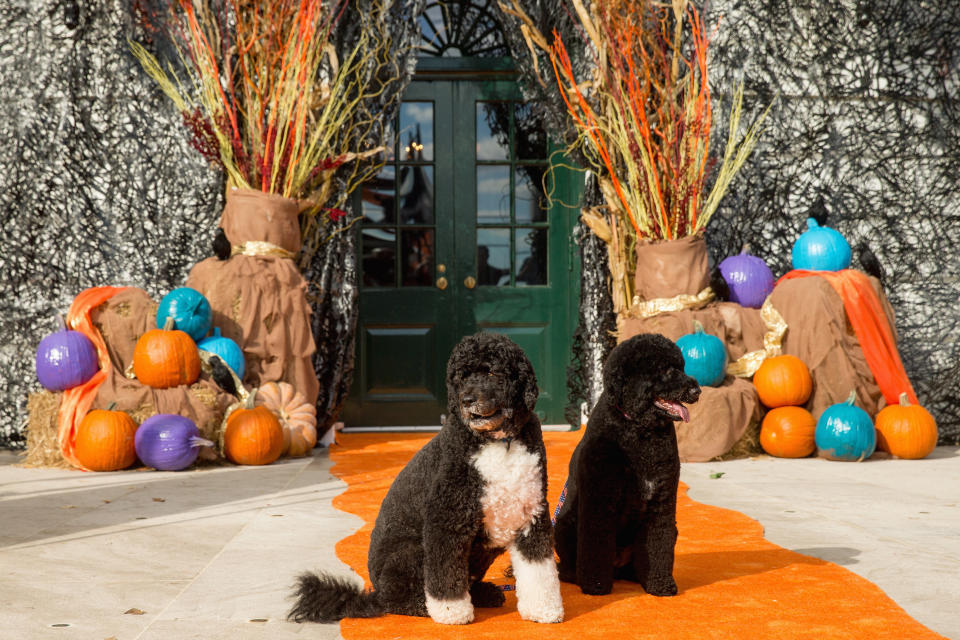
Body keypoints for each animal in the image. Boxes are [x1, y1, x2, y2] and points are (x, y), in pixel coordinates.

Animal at [290, 336, 564, 624]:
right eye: (460, 377)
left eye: (492, 372)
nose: (466, 400)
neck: (500, 442)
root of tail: (373, 593)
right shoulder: (446, 519)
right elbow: (445, 575)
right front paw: (451, 612)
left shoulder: (531, 513)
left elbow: (539, 569)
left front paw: (544, 609)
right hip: (412, 551)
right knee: (396, 599)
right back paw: (423, 605)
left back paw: (484, 594)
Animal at [552, 332, 700, 596]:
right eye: (665, 369)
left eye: (681, 367)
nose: (697, 390)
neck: (639, 430)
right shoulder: (599, 502)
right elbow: (595, 544)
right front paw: (595, 586)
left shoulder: (661, 501)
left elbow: (658, 545)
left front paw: (660, 584)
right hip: (563, 524)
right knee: (567, 564)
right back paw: (574, 575)